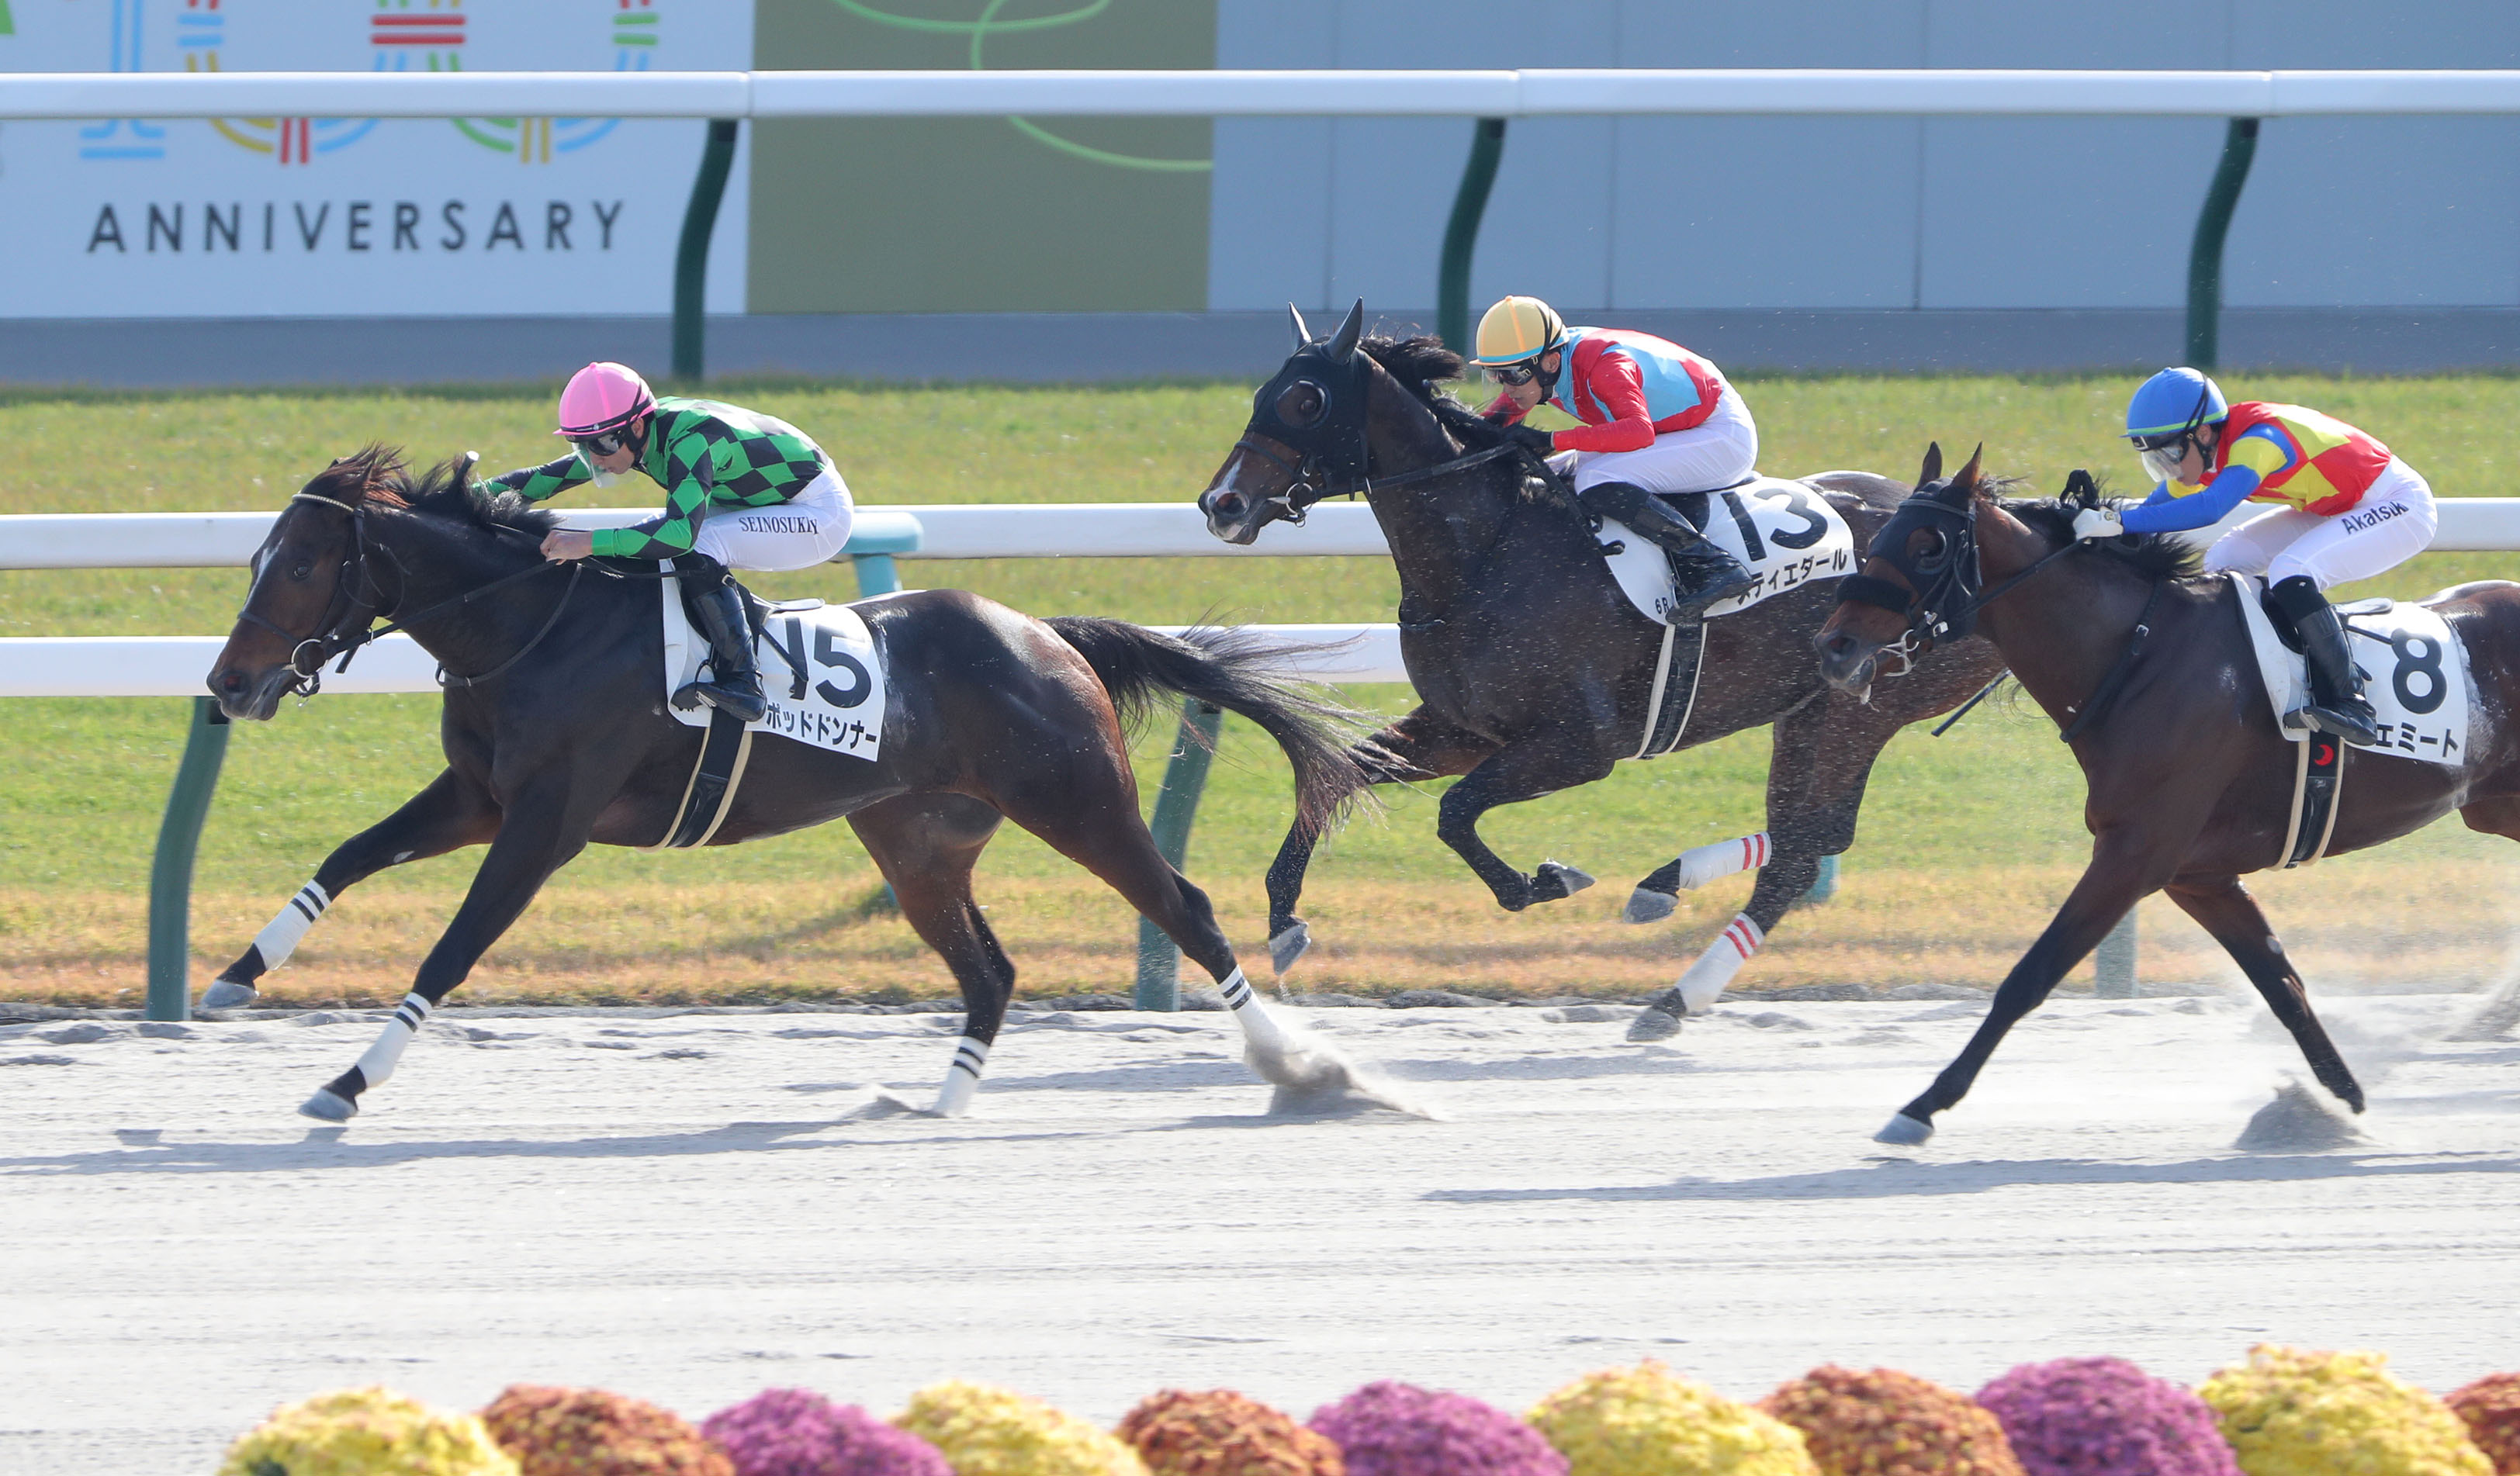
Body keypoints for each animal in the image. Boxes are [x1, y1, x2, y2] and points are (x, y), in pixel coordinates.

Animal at [203, 447, 1378, 1122]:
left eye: (300, 565)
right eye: (255, 558)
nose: (226, 684)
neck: (531, 626)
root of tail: (1047, 632)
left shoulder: (544, 822)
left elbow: (451, 949)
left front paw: (348, 1081)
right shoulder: (479, 795)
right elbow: (347, 855)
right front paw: (235, 976)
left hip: (1079, 803)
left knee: (1186, 908)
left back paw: (1304, 1067)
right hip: (916, 840)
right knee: (990, 968)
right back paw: (935, 1101)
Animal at [1196, 302, 2007, 1038]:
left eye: (1307, 401)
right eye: (1265, 393)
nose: (1220, 502)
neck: (1487, 553)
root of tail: (1985, 526)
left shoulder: (1582, 746)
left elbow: (1455, 811)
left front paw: (1544, 879)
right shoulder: (1463, 730)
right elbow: (1341, 772)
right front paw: (1283, 918)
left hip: (1861, 707)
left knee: (1809, 842)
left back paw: (1666, 918)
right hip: (1808, 709)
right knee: (1807, 843)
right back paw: (1671, 954)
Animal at [1815, 443, 2520, 1144]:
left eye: (1929, 545)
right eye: (1882, 534)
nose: (1833, 645)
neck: (2138, 657)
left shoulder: (2134, 855)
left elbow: (2030, 975)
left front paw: (1923, 1104)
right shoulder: (2198, 876)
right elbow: (2282, 985)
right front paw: (2337, 1099)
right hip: (2494, 809)